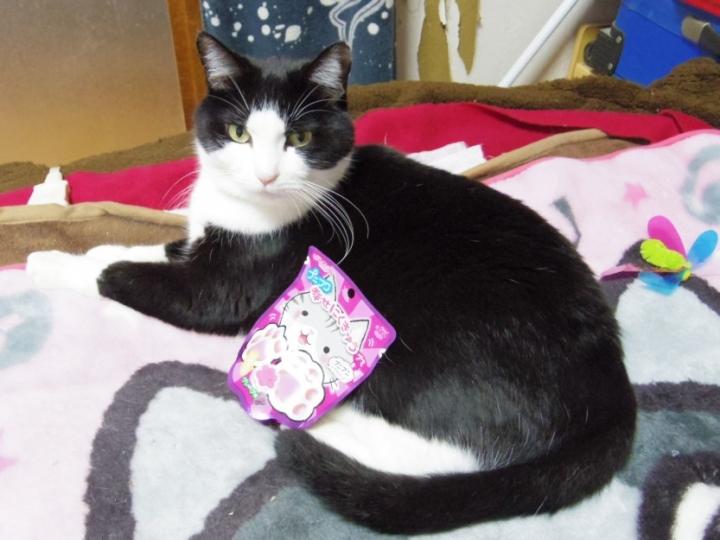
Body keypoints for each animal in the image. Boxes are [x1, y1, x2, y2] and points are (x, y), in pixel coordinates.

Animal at [26, 32, 637, 534]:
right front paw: (52, 254)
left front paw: (49, 264)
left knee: (455, 450)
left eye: (298, 136)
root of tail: (612, 388)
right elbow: (131, 250)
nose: (266, 174)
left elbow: (124, 274)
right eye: (238, 133)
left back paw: (313, 422)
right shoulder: (202, 246)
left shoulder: (224, 286)